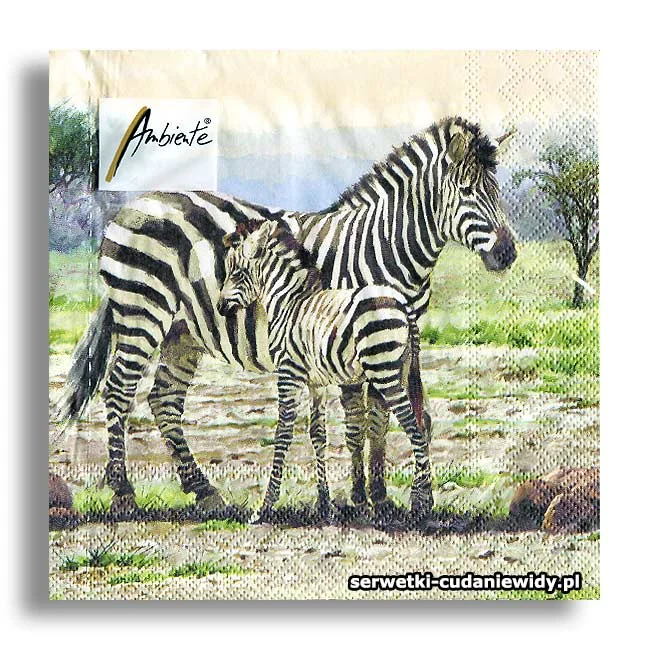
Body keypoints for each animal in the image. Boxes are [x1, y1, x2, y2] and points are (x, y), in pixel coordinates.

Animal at [217, 220, 430, 520]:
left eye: (237, 273)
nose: (220, 307)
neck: (288, 303)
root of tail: (403, 303)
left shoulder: (288, 373)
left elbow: (283, 431)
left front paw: (265, 505)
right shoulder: (315, 382)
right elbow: (318, 434)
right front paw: (324, 503)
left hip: (384, 372)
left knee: (414, 427)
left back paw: (420, 504)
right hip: (401, 368)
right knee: (421, 424)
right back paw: (423, 497)